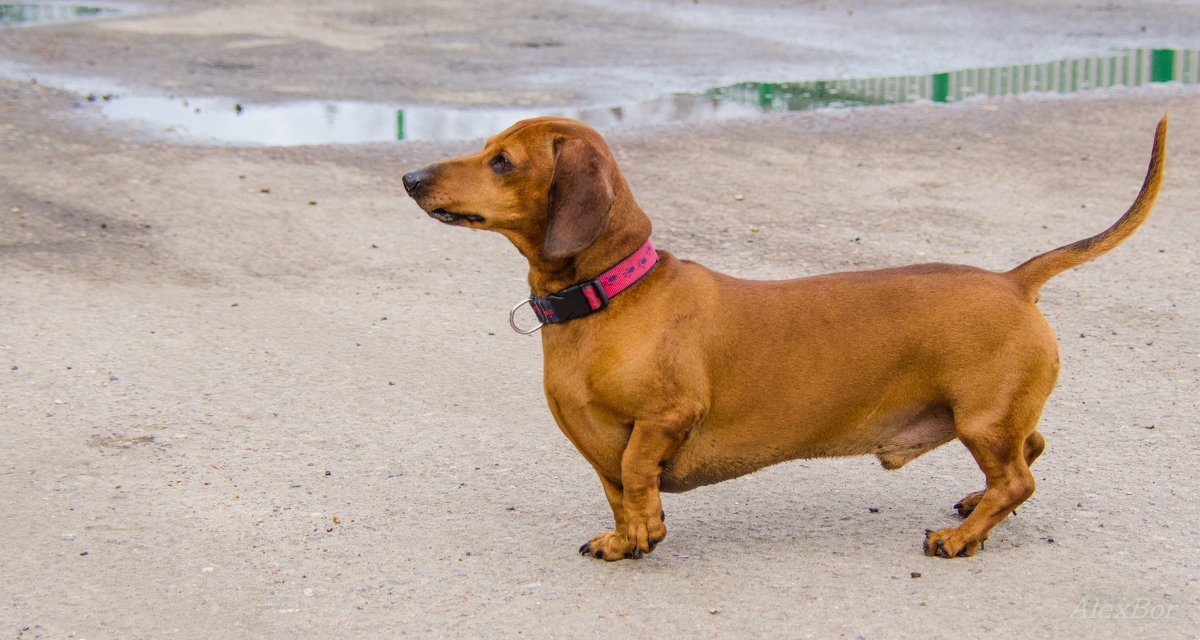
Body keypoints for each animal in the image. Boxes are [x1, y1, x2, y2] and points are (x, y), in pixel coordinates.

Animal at [403, 114, 1161, 559]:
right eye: (486, 148)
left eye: (502, 161)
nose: (409, 177)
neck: (610, 298)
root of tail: (1012, 280)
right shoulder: (595, 446)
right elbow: (615, 488)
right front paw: (623, 538)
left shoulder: (667, 418)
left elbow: (637, 474)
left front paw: (645, 532)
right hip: (990, 418)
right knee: (1028, 455)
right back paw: (975, 506)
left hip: (981, 418)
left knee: (1019, 477)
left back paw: (960, 537)